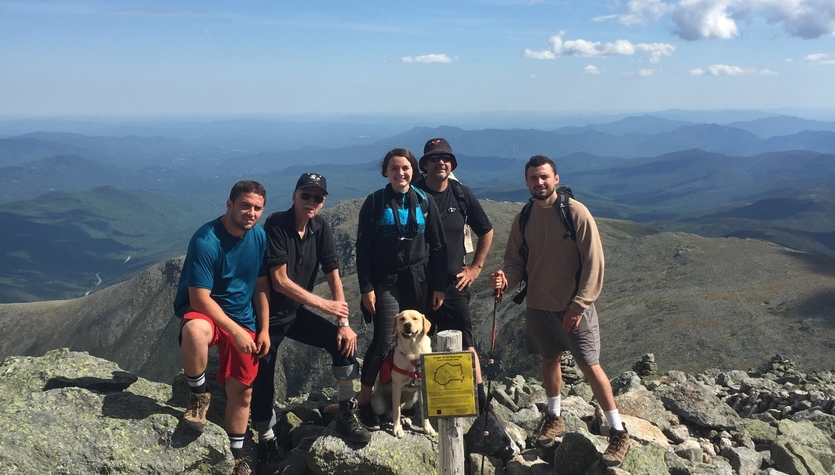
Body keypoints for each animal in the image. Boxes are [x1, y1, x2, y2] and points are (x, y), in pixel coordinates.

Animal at [372, 308, 438, 438]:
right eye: (402, 319)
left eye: (415, 318)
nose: (407, 325)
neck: (413, 352)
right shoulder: (397, 386)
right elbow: (396, 411)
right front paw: (397, 429)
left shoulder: (422, 388)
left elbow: (424, 411)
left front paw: (428, 428)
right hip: (378, 403)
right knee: (388, 413)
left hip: (412, 400)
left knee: (393, 412)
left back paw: (404, 419)